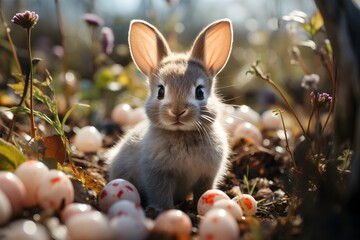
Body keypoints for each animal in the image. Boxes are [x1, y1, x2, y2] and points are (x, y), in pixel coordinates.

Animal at [106, 18, 233, 210]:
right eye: (160, 91)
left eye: (200, 92)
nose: (177, 111)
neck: (182, 133)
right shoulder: (157, 175)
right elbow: (161, 195)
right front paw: (164, 211)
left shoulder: (207, 176)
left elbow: (203, 192)